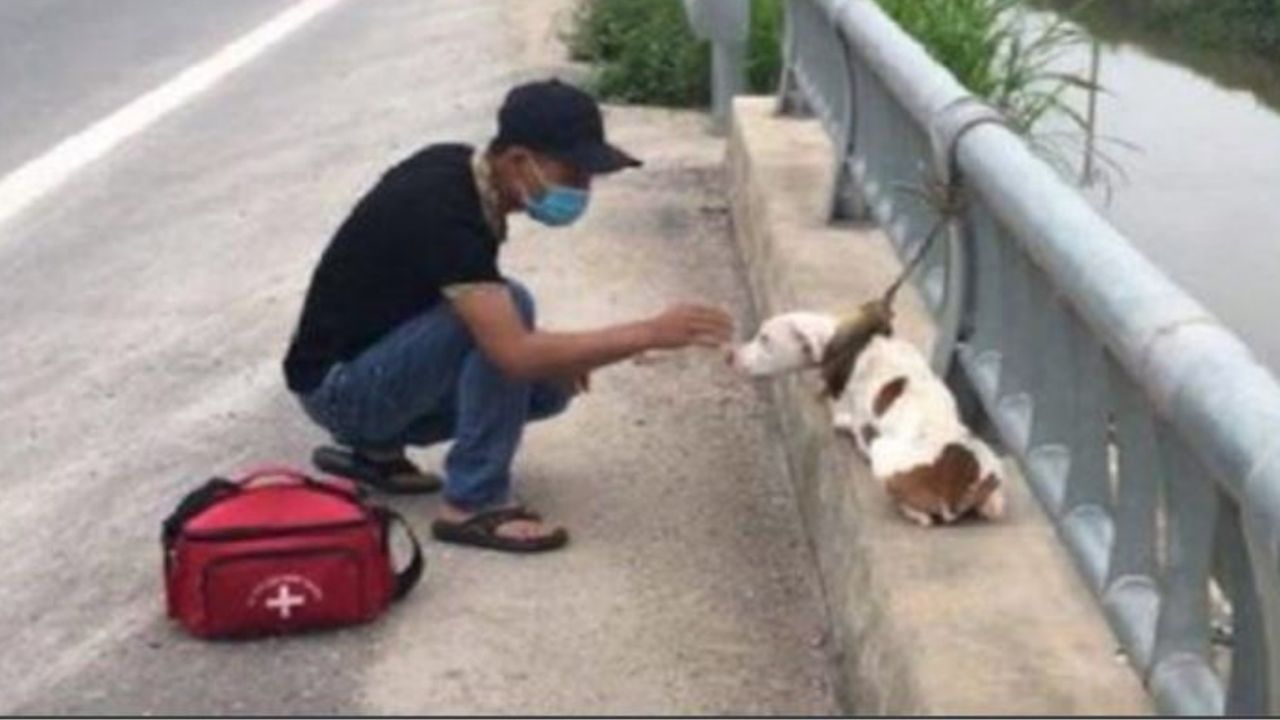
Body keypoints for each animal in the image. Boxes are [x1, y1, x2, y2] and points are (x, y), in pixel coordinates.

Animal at [737, 311, 1003, 525]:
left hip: (883, 451)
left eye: (765, 339)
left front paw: (844, 425)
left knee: (921, 513)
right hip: (993, 465)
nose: (733, 356)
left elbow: (855, 427)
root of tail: (959, 485)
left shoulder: (860, 414)